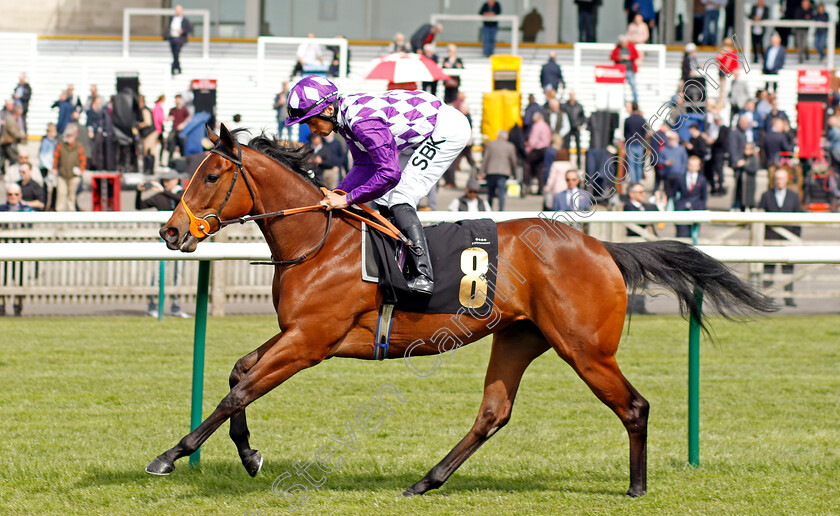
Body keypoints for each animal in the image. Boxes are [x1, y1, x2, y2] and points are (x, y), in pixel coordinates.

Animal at [146, 124, 776, 496]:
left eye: (212, 174)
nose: (171, 231)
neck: (319, 241)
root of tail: (604, 249)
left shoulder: (311, 341)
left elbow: (239, 390)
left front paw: (171, 454)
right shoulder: (298, 333)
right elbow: (239, 375)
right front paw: (248, 453)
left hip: (586, 348)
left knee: (634, 406)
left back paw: (637, 488)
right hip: (519, 336)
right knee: (494, 412)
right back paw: (427, 480)